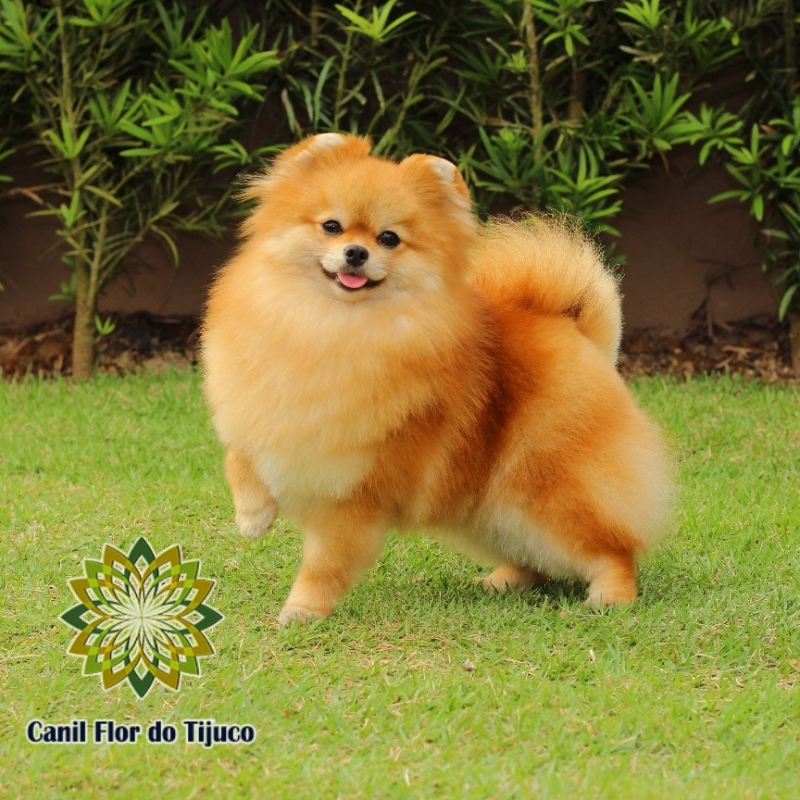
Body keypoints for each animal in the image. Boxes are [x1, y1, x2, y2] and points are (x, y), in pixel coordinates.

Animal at [202, 133, 676, 624]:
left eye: (389, 238)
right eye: (331, 226)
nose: (357, 253)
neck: (332, 327)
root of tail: (575, 330)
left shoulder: (355, 492)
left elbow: (325, 562)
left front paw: (301, 611)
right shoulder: (261, 409)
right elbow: (239, 456)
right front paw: (252, 516)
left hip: (547, 490)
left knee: (612, 547)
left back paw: (611, 596)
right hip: (490, 507)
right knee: (530, 555)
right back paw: (504, 581)